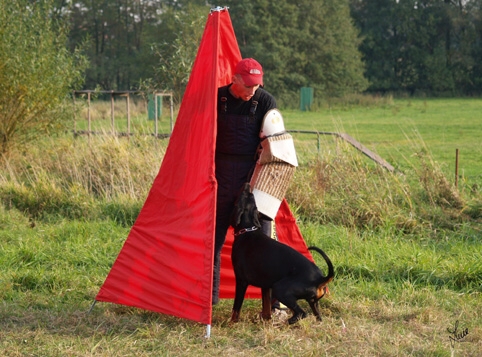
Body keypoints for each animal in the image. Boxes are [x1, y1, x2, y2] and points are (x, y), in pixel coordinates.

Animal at [232, 182, 334, 324]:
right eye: (252, 199)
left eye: (245, 195)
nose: (247, 184)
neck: (248, 230)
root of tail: (320, 278)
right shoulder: (266, 286)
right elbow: (266, 309)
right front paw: (265, 321)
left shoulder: (241, 281)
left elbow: (236, 308)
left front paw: (231, 323)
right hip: (312, 302)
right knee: (316, 315)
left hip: (280, 289)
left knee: (301, 313)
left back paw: (286, 323)